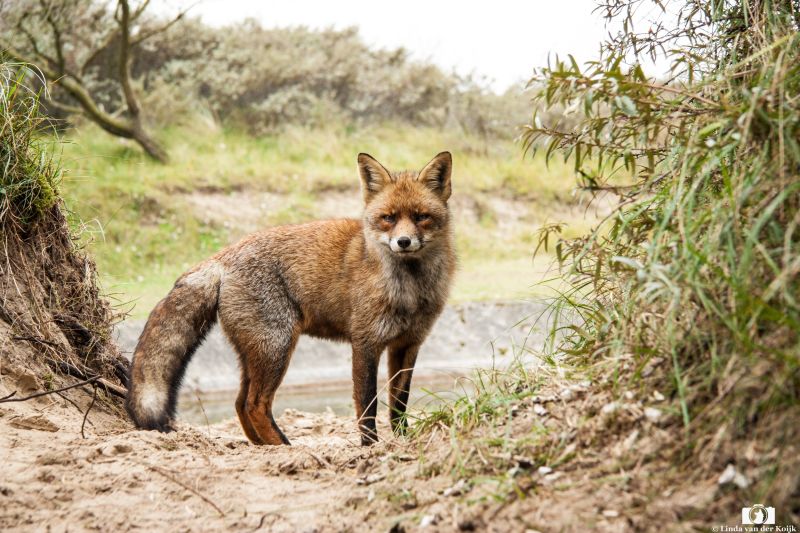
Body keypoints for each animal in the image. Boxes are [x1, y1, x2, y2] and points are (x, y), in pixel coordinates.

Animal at [126, 152, 456, 446]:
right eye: (388, 218)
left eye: (421, 217)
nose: (403, 242)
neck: (409, 291)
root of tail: (223, 255)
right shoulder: (366, 342)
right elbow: (367, 404)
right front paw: (370, 446)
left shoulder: (408, 344)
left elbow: (399, 403)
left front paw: (404, 440)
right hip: (277, 347)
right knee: (254, 404)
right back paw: (285, 446)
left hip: (257, 352)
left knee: (239, 402)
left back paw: (265, 447)